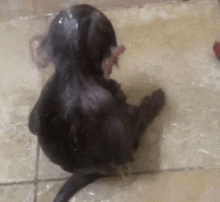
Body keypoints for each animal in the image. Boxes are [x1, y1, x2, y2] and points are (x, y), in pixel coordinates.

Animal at [27, 3, 165, 201]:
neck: (74, 73)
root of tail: (89, 172)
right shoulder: (104, 103)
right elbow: (121, 150)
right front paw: (149, 104)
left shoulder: (47, 85)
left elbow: (32, 123)